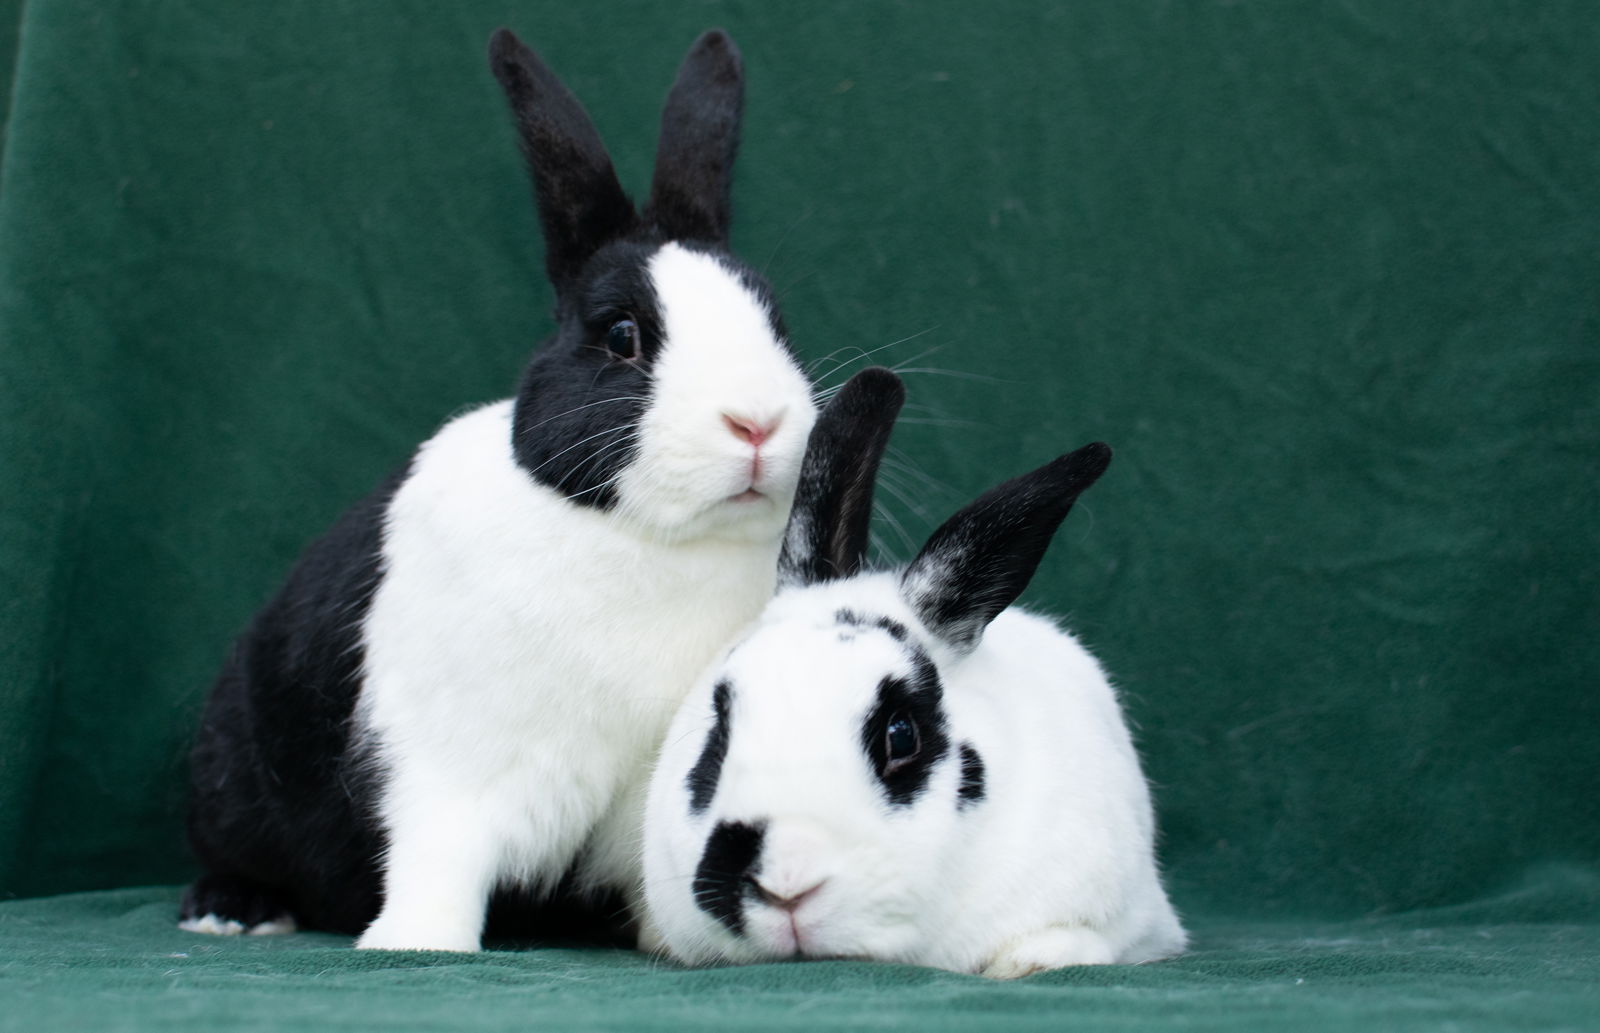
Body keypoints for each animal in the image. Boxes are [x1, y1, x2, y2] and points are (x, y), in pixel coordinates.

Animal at [181, 26, 819, 953]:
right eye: (621, 335)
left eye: (777, 323)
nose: (758, 421)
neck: (651, 539)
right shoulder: (443, 768)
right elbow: (438, 854)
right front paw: (416, 942)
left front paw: (682, 945)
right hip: (233, 764)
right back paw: (235, 911)